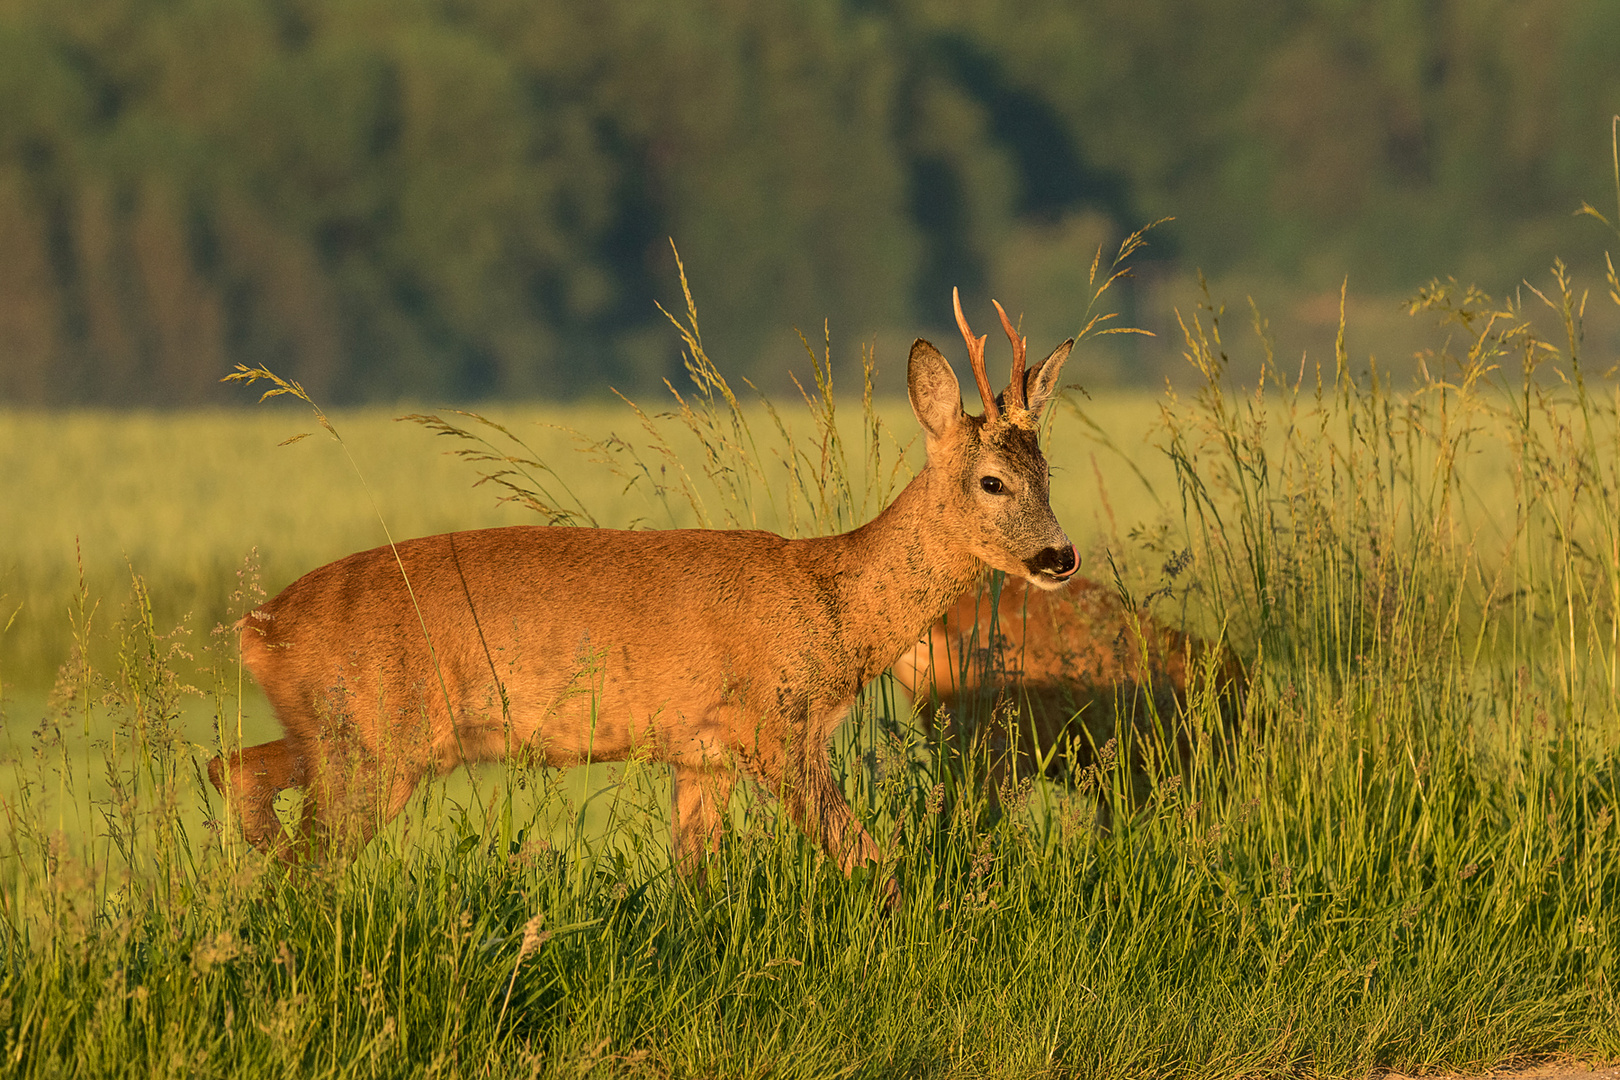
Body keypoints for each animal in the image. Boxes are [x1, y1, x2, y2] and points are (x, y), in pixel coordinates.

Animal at [208, 291, 1082, 880]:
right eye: (993, 481)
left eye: (1049, 475)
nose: (1060, 557)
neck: (831, 601)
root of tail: (259, 628)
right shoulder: (778, 729)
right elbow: (871, 861)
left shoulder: (703, 753)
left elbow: (698, 882)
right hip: (375, 738)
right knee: (307, 860)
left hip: (337, 732)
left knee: (233, 773)